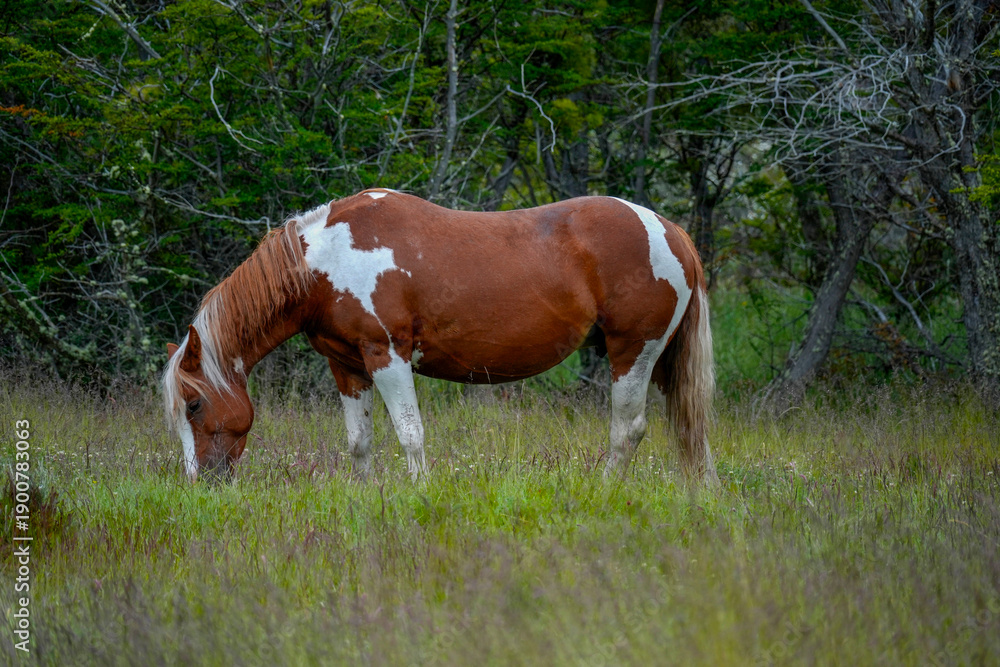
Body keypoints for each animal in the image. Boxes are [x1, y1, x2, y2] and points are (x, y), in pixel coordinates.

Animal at [162, 189, 719, 485]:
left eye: (193, 404)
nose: (200, 483)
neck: (324, 261)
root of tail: (668, 229)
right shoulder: (347, 366)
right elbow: (359, 441)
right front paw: (366, 496)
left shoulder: (387, 356)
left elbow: (410, 433)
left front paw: (418, 493)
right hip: (661, 360)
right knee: (689, 428)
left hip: (633, 352)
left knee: (629, 429)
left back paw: (604, 490)